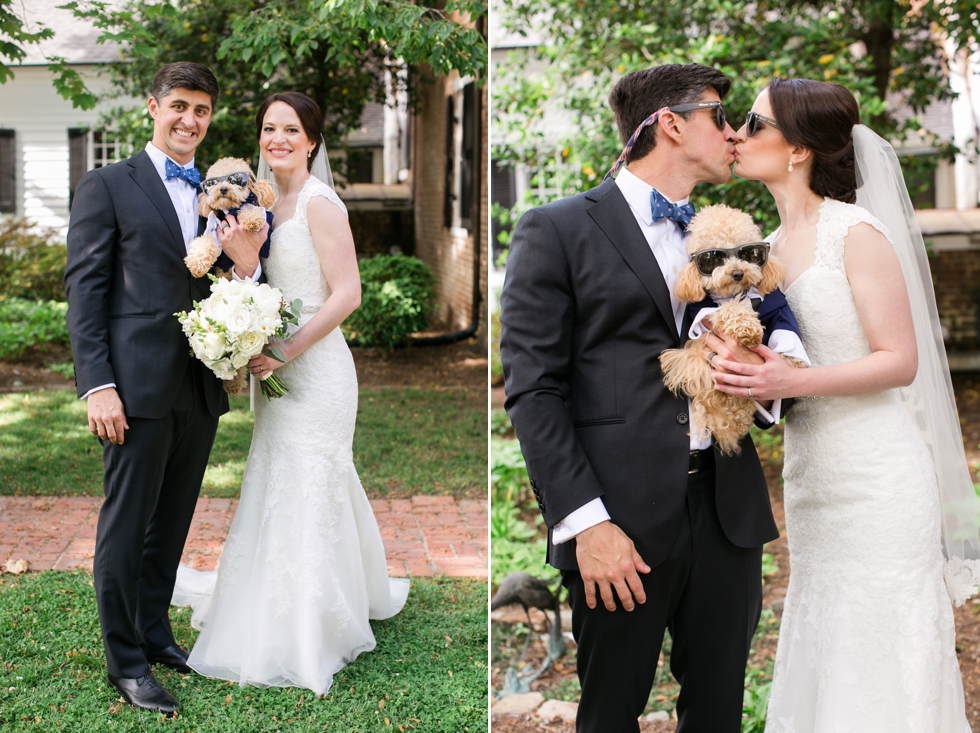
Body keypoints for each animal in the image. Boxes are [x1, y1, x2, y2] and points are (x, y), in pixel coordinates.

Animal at [656, 202, 808, 452]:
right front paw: (746, 327)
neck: (738, 294)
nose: (737, 273)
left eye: (748, 253)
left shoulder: (780, 310)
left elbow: (789, 341)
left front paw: (788, 366)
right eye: (713, 258)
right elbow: (727, 310)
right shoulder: (703, 314)